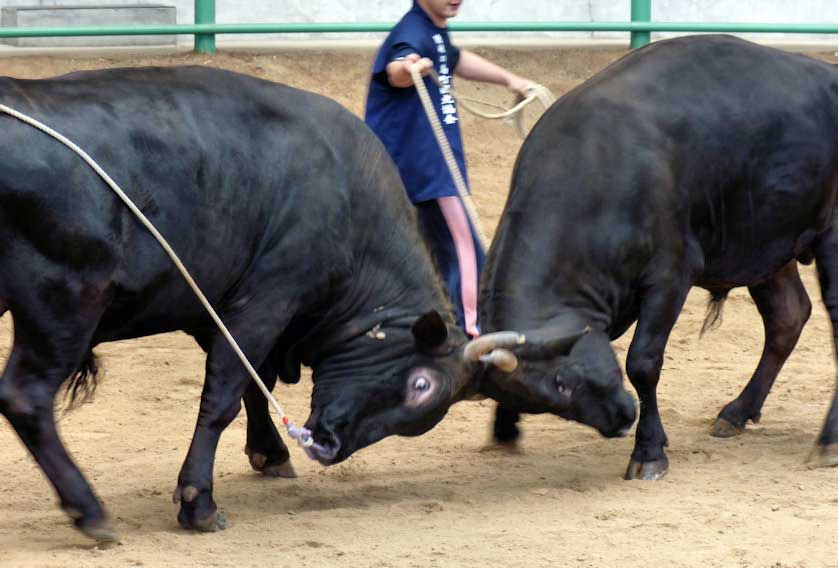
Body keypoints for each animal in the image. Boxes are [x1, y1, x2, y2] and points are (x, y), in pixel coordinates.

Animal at [0, 65, 636, 540]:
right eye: (420, 384)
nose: (327, 445)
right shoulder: (267, 297)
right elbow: (224, 393)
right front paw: (198, 501)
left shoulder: (222, 307)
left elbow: (251, 384)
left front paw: (269, 452)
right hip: (64, 304)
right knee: (26, 398)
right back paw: (90, 510)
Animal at [486, 34, 838, 480]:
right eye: (552, 393)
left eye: (565, 382)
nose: (622, 418)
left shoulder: (670, 275)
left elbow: (643, 361)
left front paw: (649, 450)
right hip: (769, 245)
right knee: (788, 317)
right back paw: (737, 412)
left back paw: (828, 439)